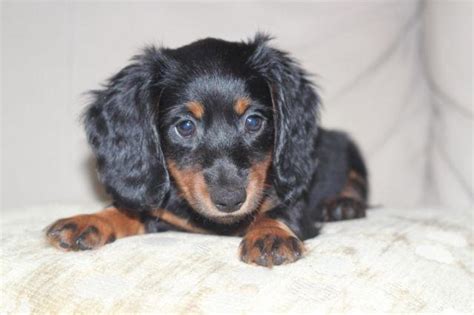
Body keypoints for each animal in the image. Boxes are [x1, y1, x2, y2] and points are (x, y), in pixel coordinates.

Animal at [46, 34, 368, 266]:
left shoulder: (294, 203)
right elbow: (128, 210)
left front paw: (270, 234)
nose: (230, 200)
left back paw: (342, 205)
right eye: (185, 126)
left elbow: (279, 211)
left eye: (253, 121)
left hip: (349, 149)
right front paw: (89, 220)